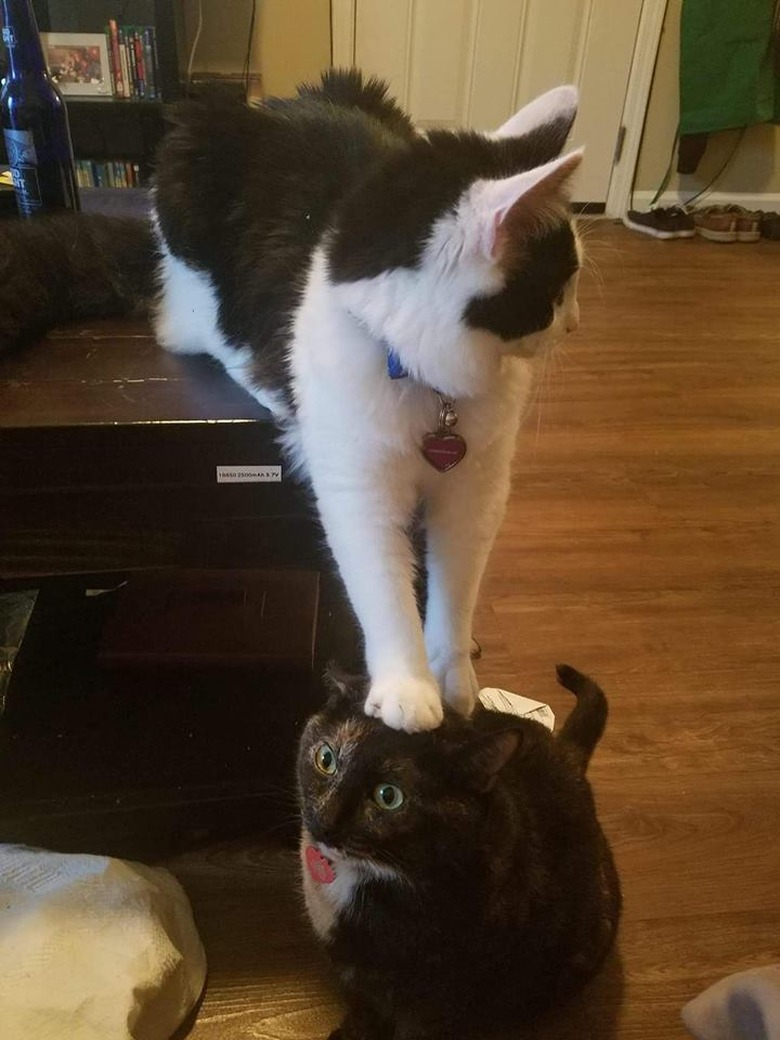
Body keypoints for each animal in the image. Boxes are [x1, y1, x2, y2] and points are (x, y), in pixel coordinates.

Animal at [0, 71, 582, 732]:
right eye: (560, 287)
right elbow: (384, 589)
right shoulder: (358, 490)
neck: (429, 384)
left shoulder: (477, 493)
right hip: (187, 198)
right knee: (183, 322)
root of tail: (268, 107)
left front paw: (456, 682)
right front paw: (408, 688)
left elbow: (455, 592)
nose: (575, 323)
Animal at [299, 665, 624, 1040]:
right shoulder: (358, 982)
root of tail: (568, 758)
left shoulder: (436, 1007)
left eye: (389, 796)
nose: (325, 825)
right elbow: (363, 1009)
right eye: (326, 759)